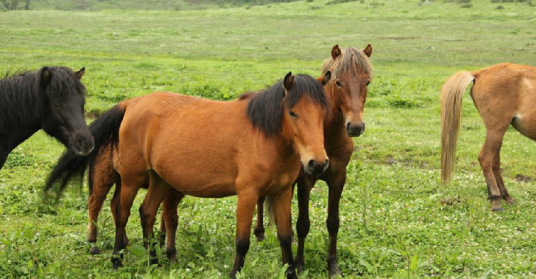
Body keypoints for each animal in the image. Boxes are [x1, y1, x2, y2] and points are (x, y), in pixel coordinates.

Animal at [46, 72, 330, 279]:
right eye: (293, 112)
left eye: (323, 114)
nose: (317, 163)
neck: (264, 134)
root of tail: (133, 103)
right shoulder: (247, 194)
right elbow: (242, 241)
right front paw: (235, 273)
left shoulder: (282, 193)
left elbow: (285, 237)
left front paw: (291, 272)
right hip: (130, 178)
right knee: (121, 213)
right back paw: (117, 259)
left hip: (159, 179)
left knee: (146, 212)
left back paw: (153, 260)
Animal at [254, 44, 372, 278]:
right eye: (338, 82)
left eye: (367, 82)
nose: (355, 127)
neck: (328, 136)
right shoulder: (305, 181)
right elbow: (303, 223)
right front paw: (299, 264)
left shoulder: (338, 179)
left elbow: (333, 222)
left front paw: (333, 265)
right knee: (261, 198)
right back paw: (260, 232)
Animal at [440, 63, 536, 212]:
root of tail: (479, 73)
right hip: (496, 129)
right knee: (485, 158)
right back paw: (496, 199)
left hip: (497, 131)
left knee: (494, 162)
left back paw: (503, 195)